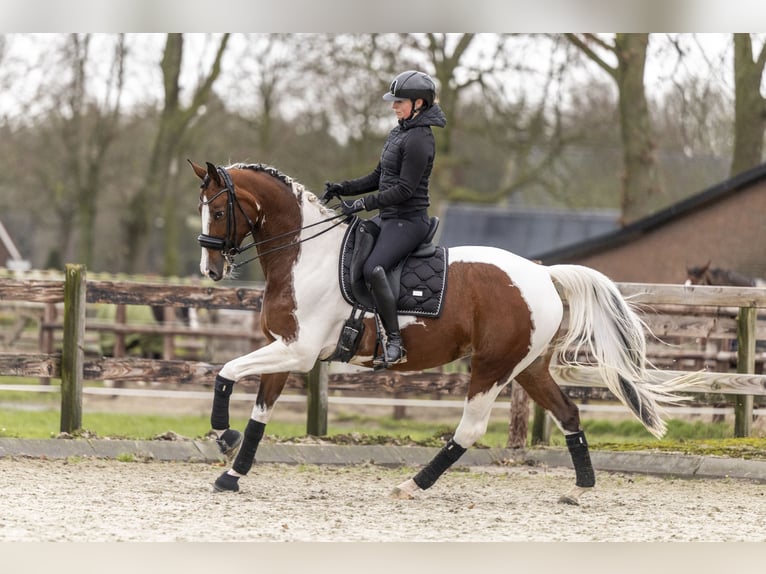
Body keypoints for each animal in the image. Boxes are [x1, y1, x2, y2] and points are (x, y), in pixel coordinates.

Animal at [192, 160, 696, 506]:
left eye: (216, 210)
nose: (210, 270)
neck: (304, 256)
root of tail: (543, 274)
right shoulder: (284, 347)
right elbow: (259, 413)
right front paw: (232, 471)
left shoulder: (298, 351)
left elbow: (226, 371)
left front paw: (222, 434)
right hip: (528, 367)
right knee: (568, 413)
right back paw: (582, 487)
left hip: (492, 367)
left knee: (470, 429)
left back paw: (412, 484)